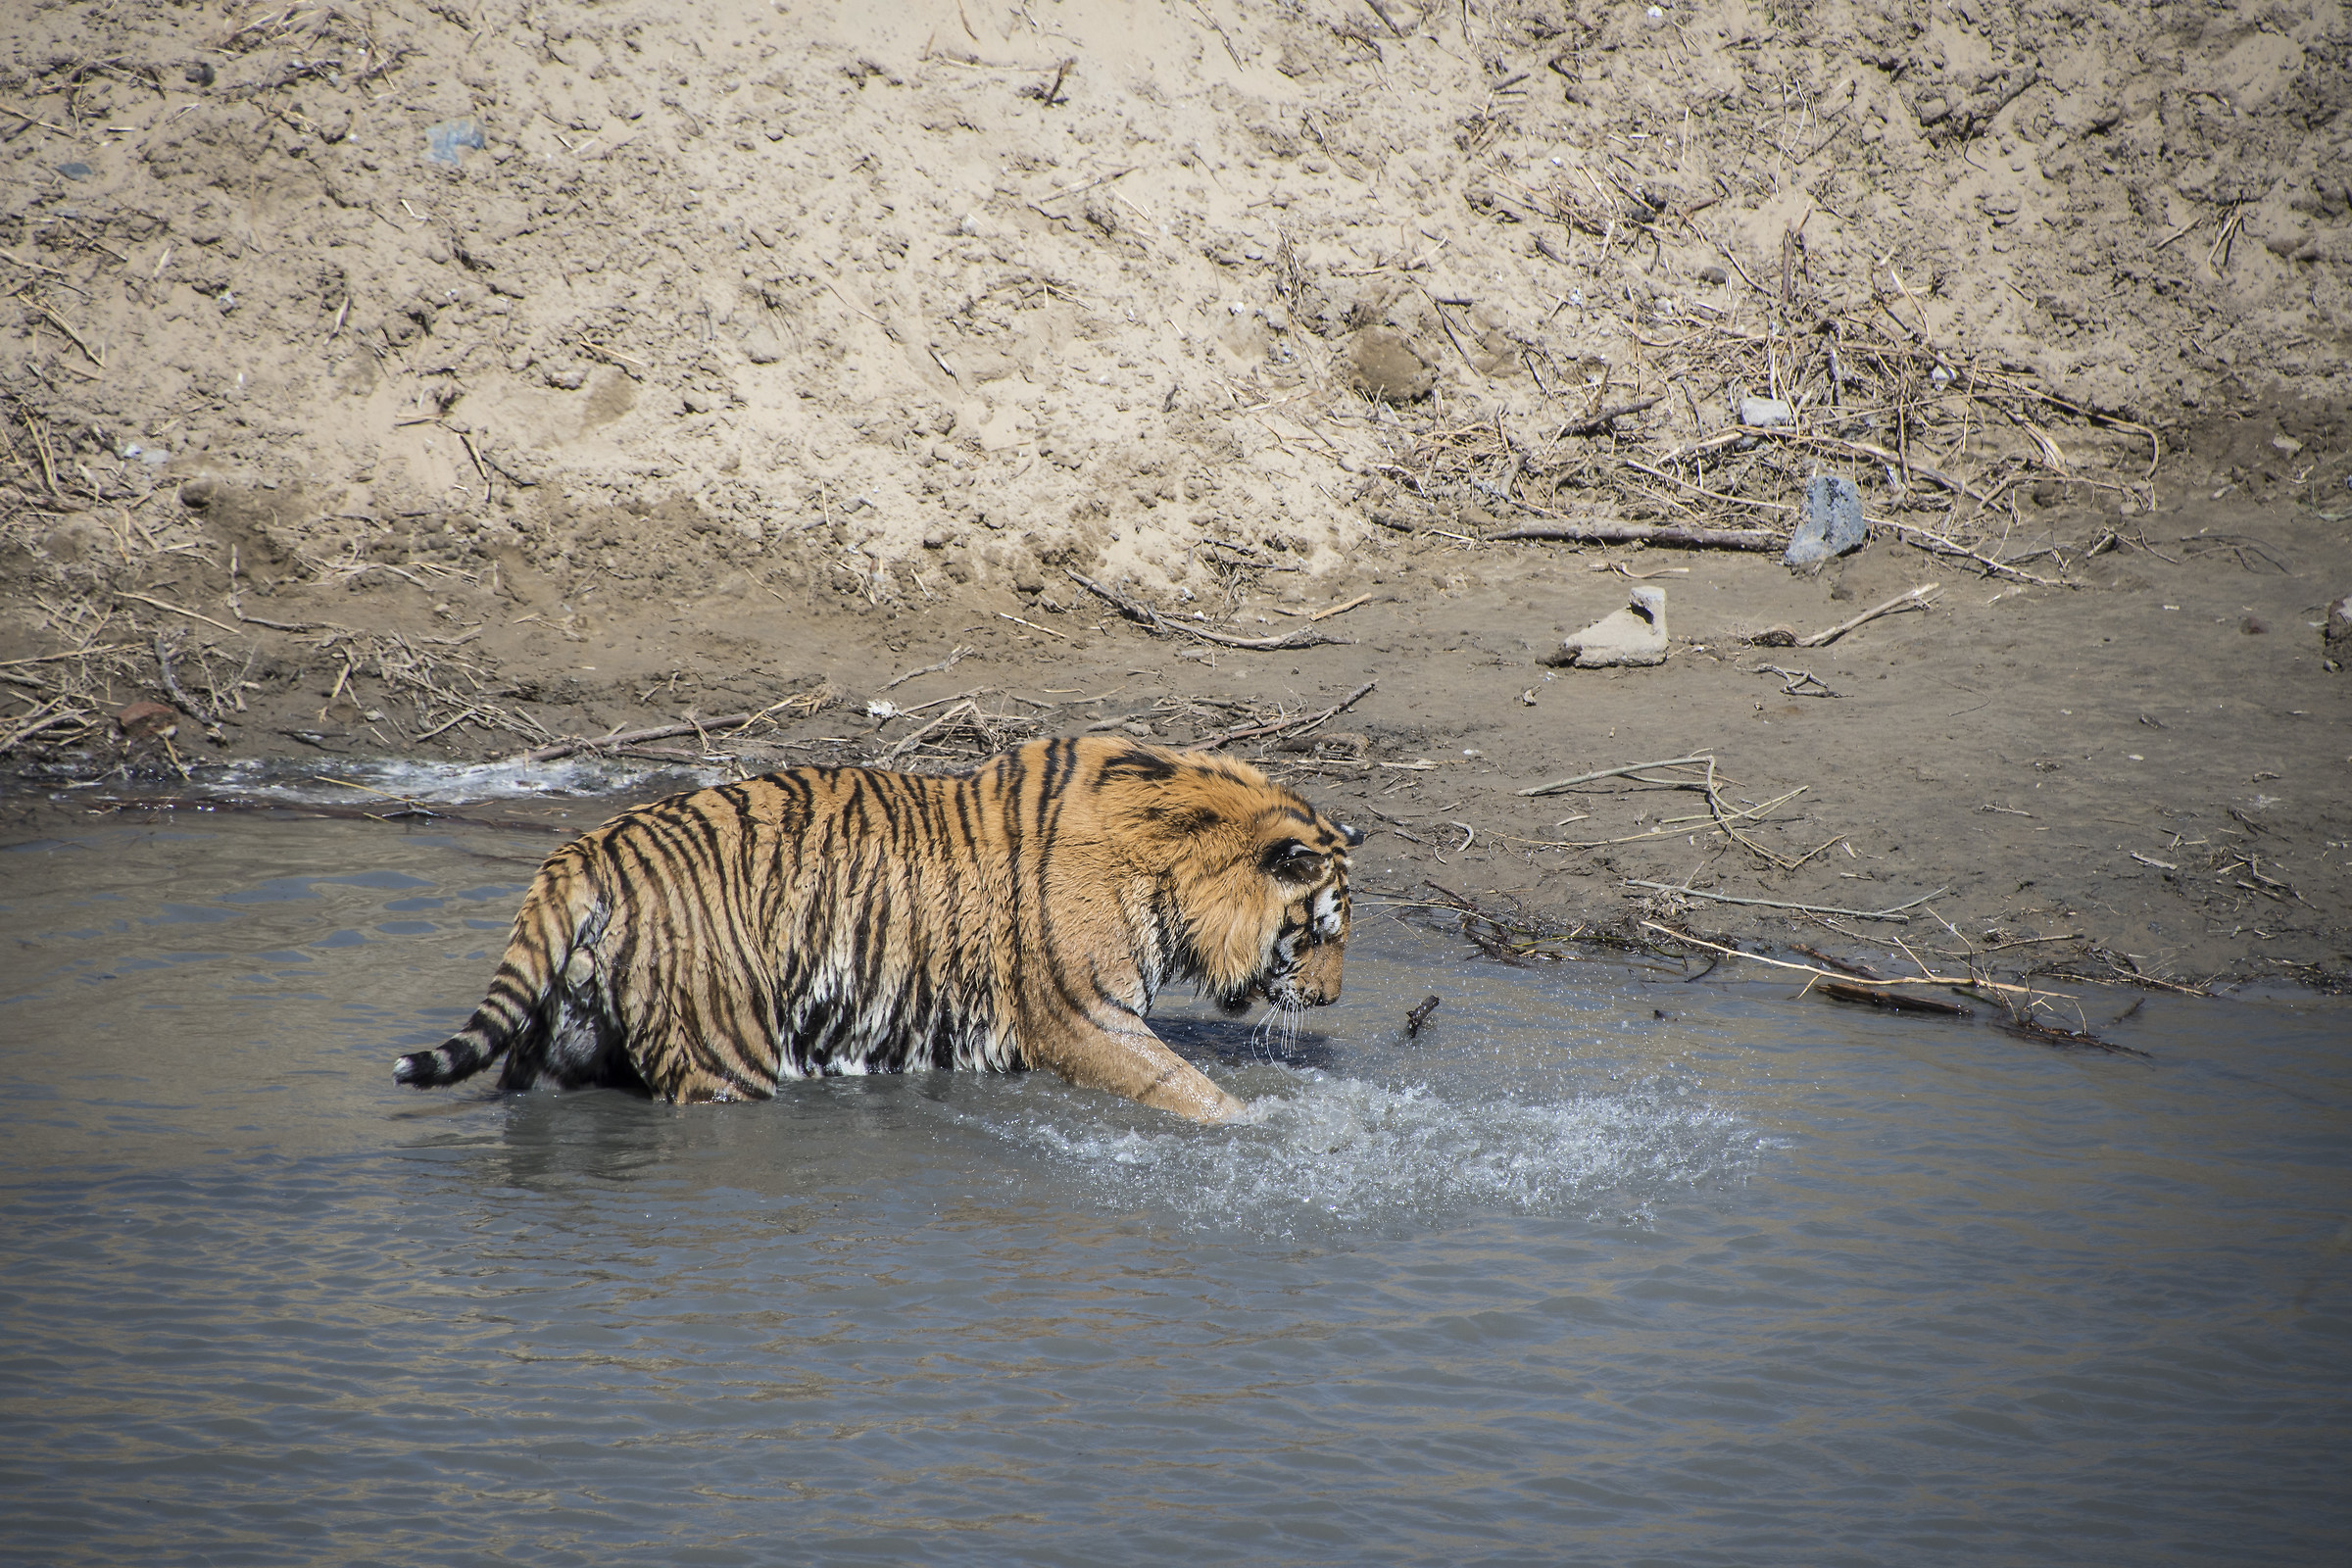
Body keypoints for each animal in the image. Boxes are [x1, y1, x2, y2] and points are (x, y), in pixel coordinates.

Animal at [394, 735, 1362, 1122]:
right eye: (1320, 933)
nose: (1329, 999)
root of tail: (588, 847)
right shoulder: (1084, 1016)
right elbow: (1192, 1092)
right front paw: (1269, 1127)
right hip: (724, 1050)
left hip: (562, 1040)